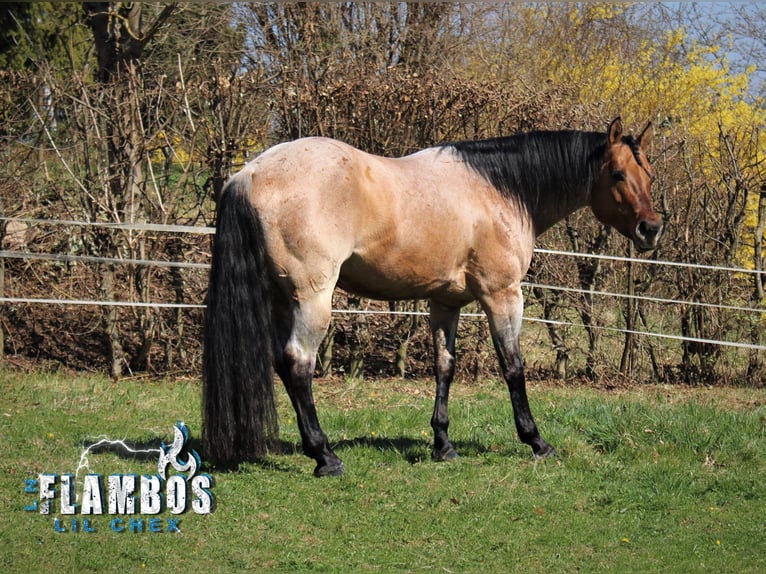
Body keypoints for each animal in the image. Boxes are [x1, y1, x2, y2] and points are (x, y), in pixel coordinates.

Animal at [204, 117, 664, 476]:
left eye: (650, 176)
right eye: (617, 174)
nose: (652, 229)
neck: (498, 189)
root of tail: (247, 174)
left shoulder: (446, 303)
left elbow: (445, 367)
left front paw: (443, 445)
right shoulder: (502, 295)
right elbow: (513, 367)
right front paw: (536, 441)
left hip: (281, 299)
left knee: (282, 364)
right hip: (312, 298)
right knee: (298, 364)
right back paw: (325, 456)